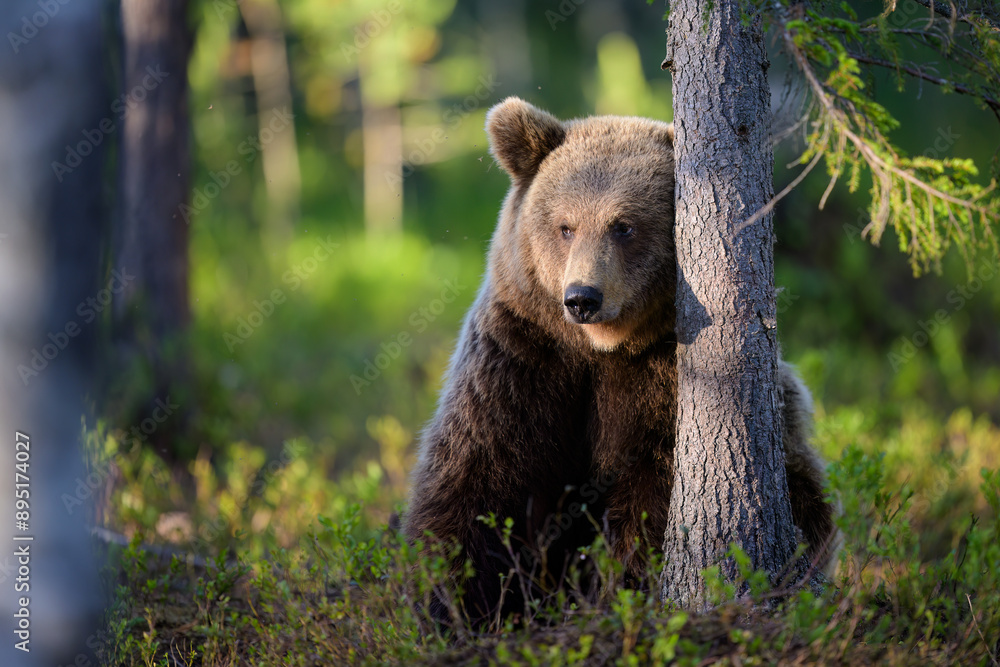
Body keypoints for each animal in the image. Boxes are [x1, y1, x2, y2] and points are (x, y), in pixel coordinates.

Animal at [403, 97, 838, 626]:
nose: (582, 298)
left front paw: (613, 590)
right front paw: (451, 605)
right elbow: (476, 476)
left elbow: (651, 493)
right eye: (565, 226)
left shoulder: (663, 381)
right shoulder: (523, 358)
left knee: (810, 505)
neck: (602, 350)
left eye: (624, 225)